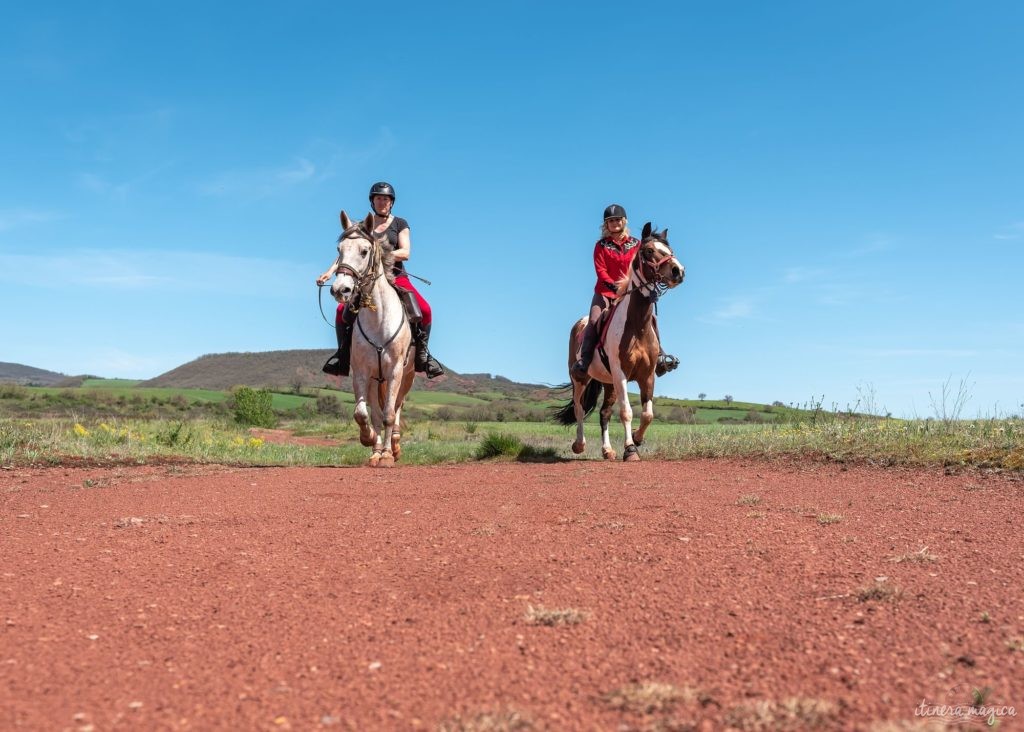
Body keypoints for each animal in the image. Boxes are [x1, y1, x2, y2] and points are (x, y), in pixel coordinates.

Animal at [329, 208, 413, 466]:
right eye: (339, 250)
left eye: (364, 251)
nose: (340, 290)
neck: (378, 317)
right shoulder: (362, 371)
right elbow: (362, 413)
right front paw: (369, 440)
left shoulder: (395, 370)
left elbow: (388, 414)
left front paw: (387, 454)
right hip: (377, 380)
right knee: (376, 411)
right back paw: (376, 449)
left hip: (406, 376)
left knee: (397, 407)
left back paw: (393, 445)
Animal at [552, 225, 688, 464]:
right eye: (649, 251)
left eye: (669, 249)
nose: (677, 271)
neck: (636, 324)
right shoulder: (621, 373)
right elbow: (626, 412)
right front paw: (630, 449)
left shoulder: (647, 375)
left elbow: (647, 414)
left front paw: (637, 439)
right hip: (581, 378)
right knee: (579, 409)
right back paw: (579, 445)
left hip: (609, 383)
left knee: (604, 413)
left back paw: (607, 451)